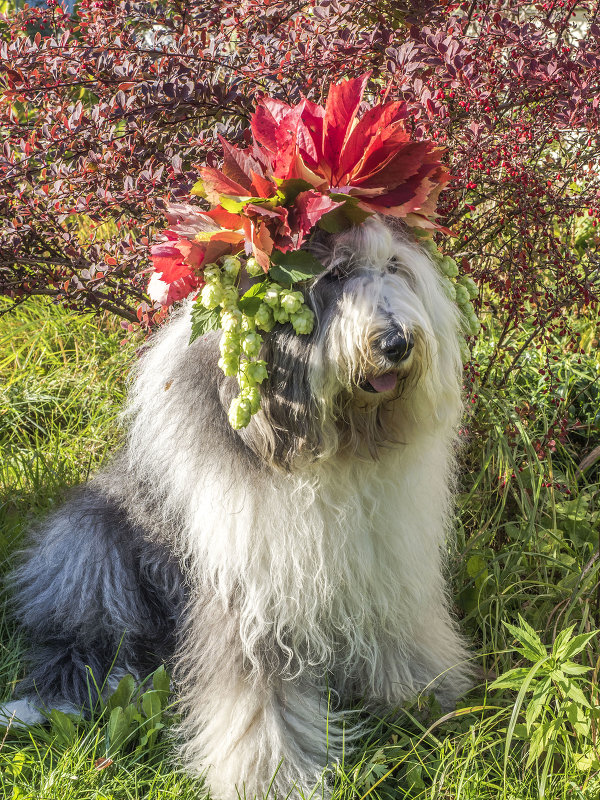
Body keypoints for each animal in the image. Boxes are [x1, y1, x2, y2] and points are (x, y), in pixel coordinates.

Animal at [2, 217, 472, 800]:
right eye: (336, 275)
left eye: (394, 267)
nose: (396, 342)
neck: (331, 442)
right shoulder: (249, 590)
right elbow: (253, 690)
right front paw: (269, 773)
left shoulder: (384, 560)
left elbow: (399, 633)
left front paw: (423, 694)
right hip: (92, 550)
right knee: (85, 638)